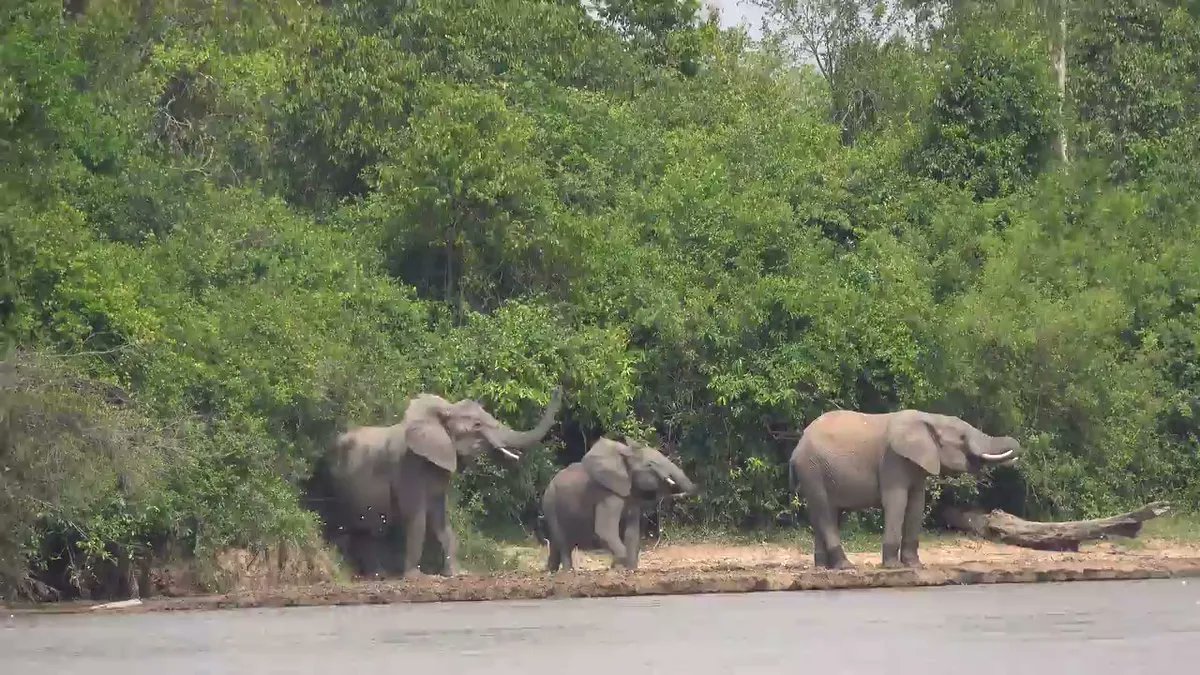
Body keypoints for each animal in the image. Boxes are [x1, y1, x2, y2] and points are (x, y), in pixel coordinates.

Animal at [314, 387, 563, 579]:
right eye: (477, 426)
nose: (559, 387)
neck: (443, 412)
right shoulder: (409, 466)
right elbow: (417, 518)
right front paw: (416, 577)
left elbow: (439, 518)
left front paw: (456, 573)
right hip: (333, 484)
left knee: (365, 531)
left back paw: (378, 576)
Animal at [541, 437, 697, 572]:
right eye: (650, 465)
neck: (625, 456)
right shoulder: (607, 494)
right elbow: (605, 530)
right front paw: (619, 566)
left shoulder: (631, 495)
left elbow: (631, 532)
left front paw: (630, 569)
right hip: (550, 503)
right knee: (563, 542)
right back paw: (568, 572)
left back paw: (551, 571)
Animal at [788, 409, 1021, 571]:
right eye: (962, 438)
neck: (930, 418)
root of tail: (796, 448)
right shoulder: (894, 460)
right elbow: (897, 502)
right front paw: (894, 567)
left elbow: (917, 504)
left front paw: (915, 566)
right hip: (813, 469)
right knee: (825, 513)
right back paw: (846, 567)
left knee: (824, 515)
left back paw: (824, 568)